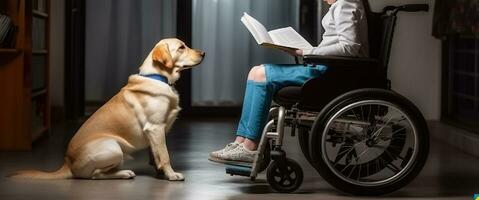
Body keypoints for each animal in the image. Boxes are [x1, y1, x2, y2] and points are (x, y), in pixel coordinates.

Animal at [13, 38, 204, 180]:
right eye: (181, 47)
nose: (203, 53)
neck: (158, 77)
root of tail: (67, 162)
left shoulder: (154, 133)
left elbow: (155, 154)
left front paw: (160, 173)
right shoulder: (155, 128)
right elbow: (164, 155)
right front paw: (171, 175)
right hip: (114, 148)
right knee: (95, 175)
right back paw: (125, 173)